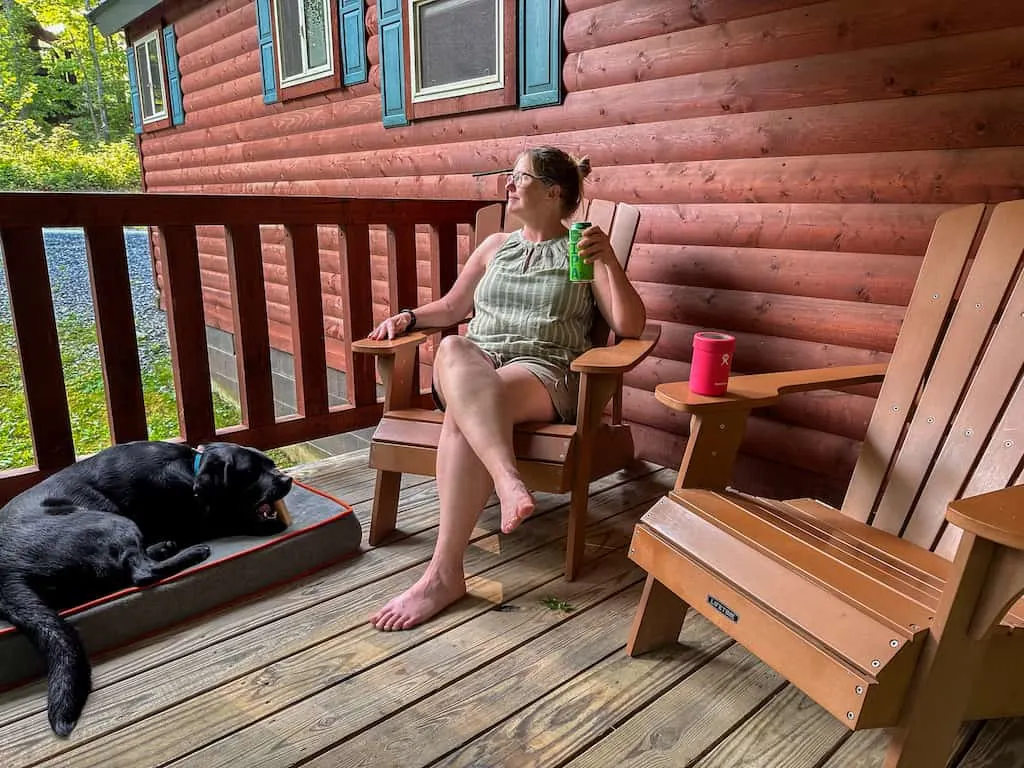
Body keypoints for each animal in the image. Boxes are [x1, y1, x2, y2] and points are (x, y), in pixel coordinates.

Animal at [0, 444, 292, 741]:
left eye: (270, 463)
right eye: (251, 472)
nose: (287, 479)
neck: (191, 468)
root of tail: (6, 573)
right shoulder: (196, 520)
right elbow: (228, 520)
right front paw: (267, 524)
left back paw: (163, 547)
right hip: (110, 521)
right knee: (142, 572)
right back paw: (192, 552)